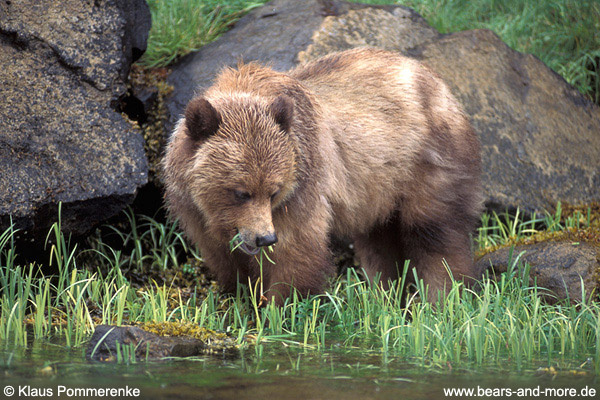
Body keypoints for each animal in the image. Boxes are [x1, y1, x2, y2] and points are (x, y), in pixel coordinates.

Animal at [162, 47, 480, 304]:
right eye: (241, 192)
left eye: (274, 191)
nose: (264, 238)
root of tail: (440, 83)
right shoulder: (195, 211)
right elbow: (225, 259)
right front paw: (240, 298)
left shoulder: (301, 182)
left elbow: (296, 249)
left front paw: (279, 309)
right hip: (380, 187)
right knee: (379, 241)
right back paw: (386, 294)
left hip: (426, 159)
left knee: (433, 231)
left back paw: (442, 296)